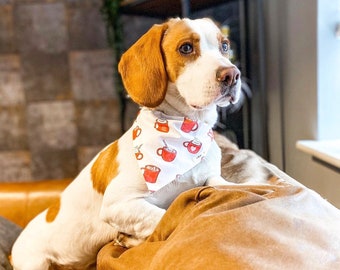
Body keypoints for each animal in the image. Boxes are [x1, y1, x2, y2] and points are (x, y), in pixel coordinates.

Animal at [11, 18, 242, 270]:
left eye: (225, 46)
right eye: (186, 48)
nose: (232, 74)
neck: (186, 129)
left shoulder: (211, 177)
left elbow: (223, 184)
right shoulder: (119, 204)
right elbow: (166, 216)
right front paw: (132, 237)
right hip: (34, 262)